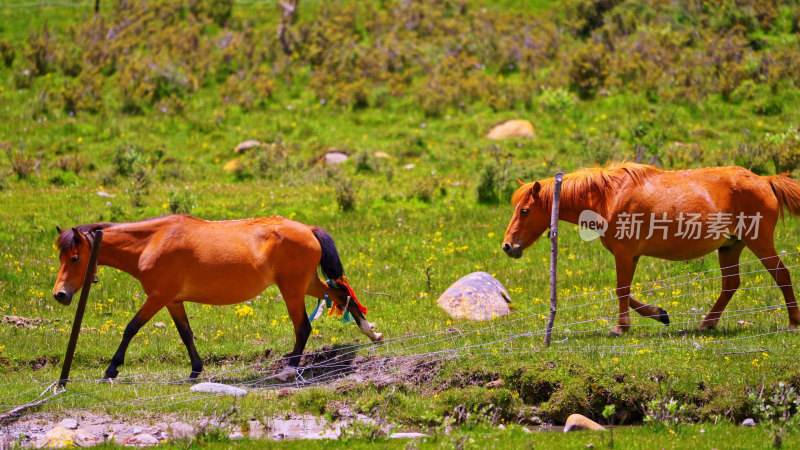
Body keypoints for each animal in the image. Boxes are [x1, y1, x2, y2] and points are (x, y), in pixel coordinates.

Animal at [51, 214, 382, 380]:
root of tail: (308, 229)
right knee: (340, 293)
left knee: (303, 327)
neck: (151, 242)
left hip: (292, 289)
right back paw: (371, 332)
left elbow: (131, 328)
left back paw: (289, 368)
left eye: (76, 257)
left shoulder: (158, 297)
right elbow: (186, 334)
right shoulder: (172, 300)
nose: (60, 294)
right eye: (61, 256)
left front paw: (112, 369)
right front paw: (196, 370)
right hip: (306, 284)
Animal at [504, 163, 800, 336]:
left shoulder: (624, 253)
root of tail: (765, 180)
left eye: (525, 210)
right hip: (730, 247)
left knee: (782, 275)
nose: (508, 246)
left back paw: (793, 323)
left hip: (758, 242)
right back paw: (707, 323)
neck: (608, 196)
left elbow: (621, 290)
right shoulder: (631, 255)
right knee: (730, 284)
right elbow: (627, 293)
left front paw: (621, 328)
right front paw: (659, 314)